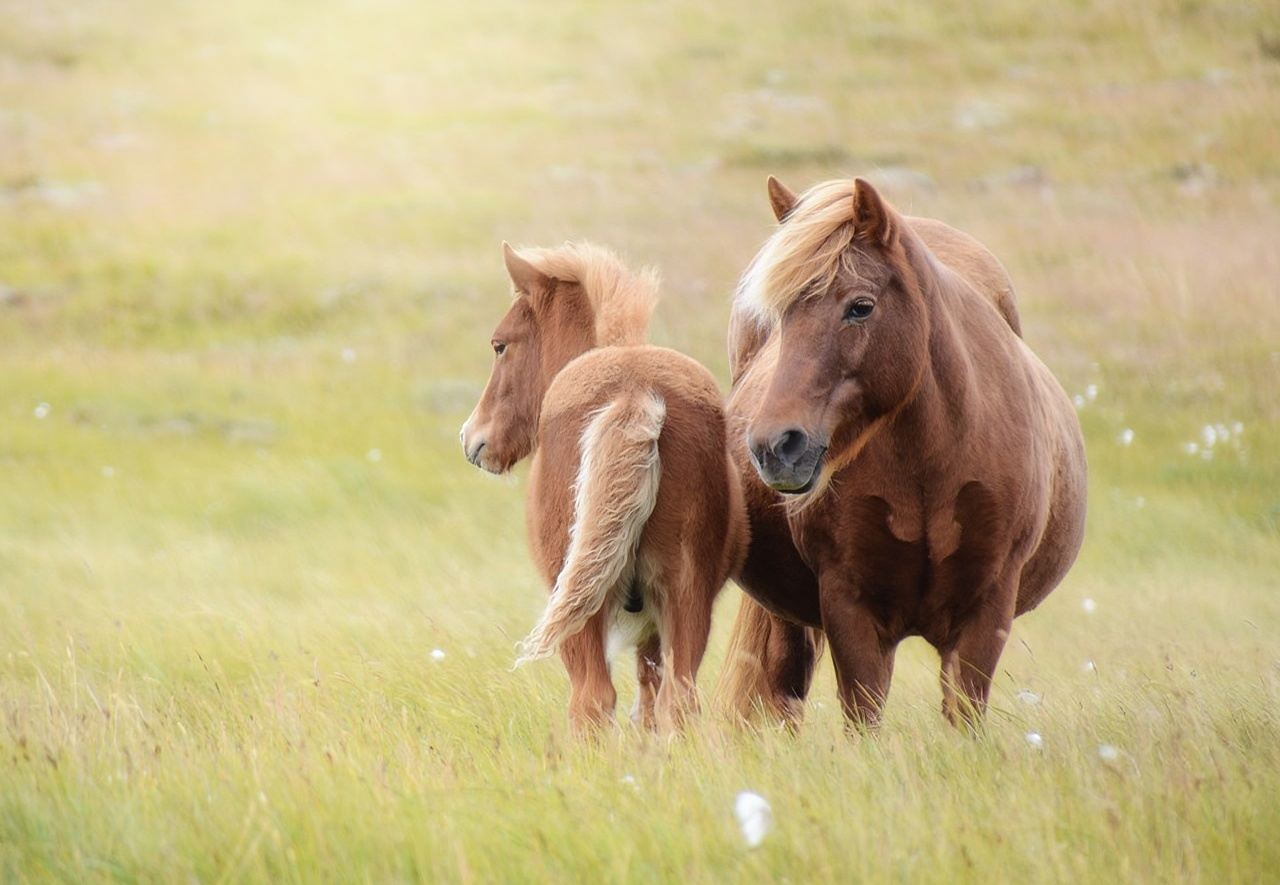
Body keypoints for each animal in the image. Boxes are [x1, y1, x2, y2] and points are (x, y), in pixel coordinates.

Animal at [460, 242, 748, 735]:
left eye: (500, 345)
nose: (473, 439)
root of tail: (634, 391)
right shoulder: (654, 625)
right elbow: (649, 703)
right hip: (685, 595)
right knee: (677, 701)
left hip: (579, 609)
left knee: (591, 701)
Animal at [717, 176, 1087, 730]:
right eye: (779, 315)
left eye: (860, 306)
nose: (774, 446)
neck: (930, 465)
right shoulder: (850, 609)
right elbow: (862, 718)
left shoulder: (986, 610)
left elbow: (964, 717)